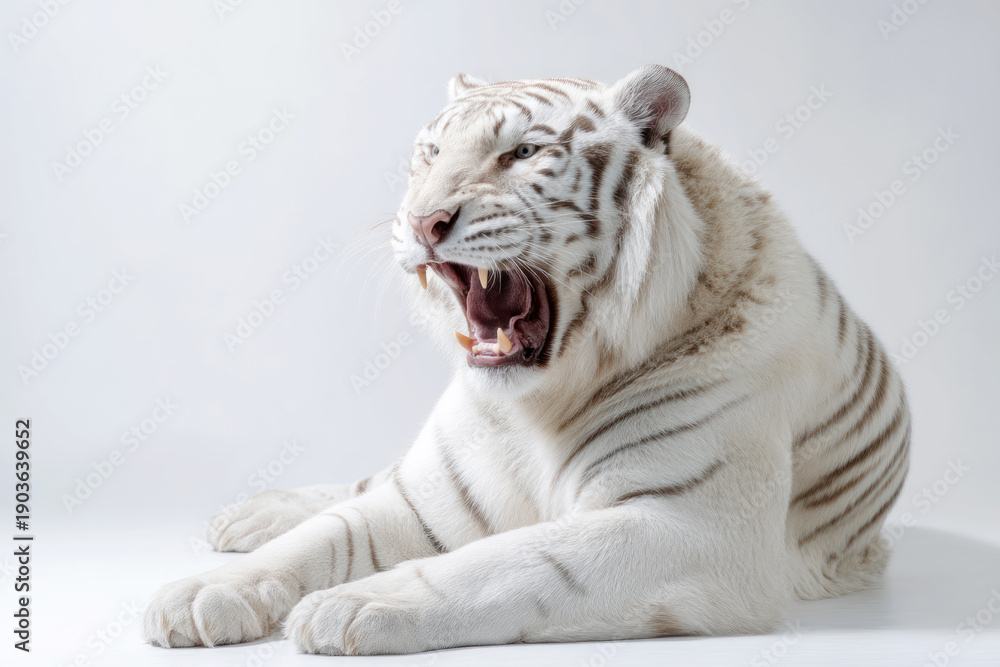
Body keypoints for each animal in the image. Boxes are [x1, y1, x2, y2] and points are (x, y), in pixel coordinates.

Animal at [142, 64, 911, 655]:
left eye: (524, 152)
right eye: (429, 153)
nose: (423, 221)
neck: (542, 403)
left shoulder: (690, 527)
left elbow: (506, 562)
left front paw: (352, 605)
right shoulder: (430, 495)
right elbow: (325, 535)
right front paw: (203, 591)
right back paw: (250, 518)